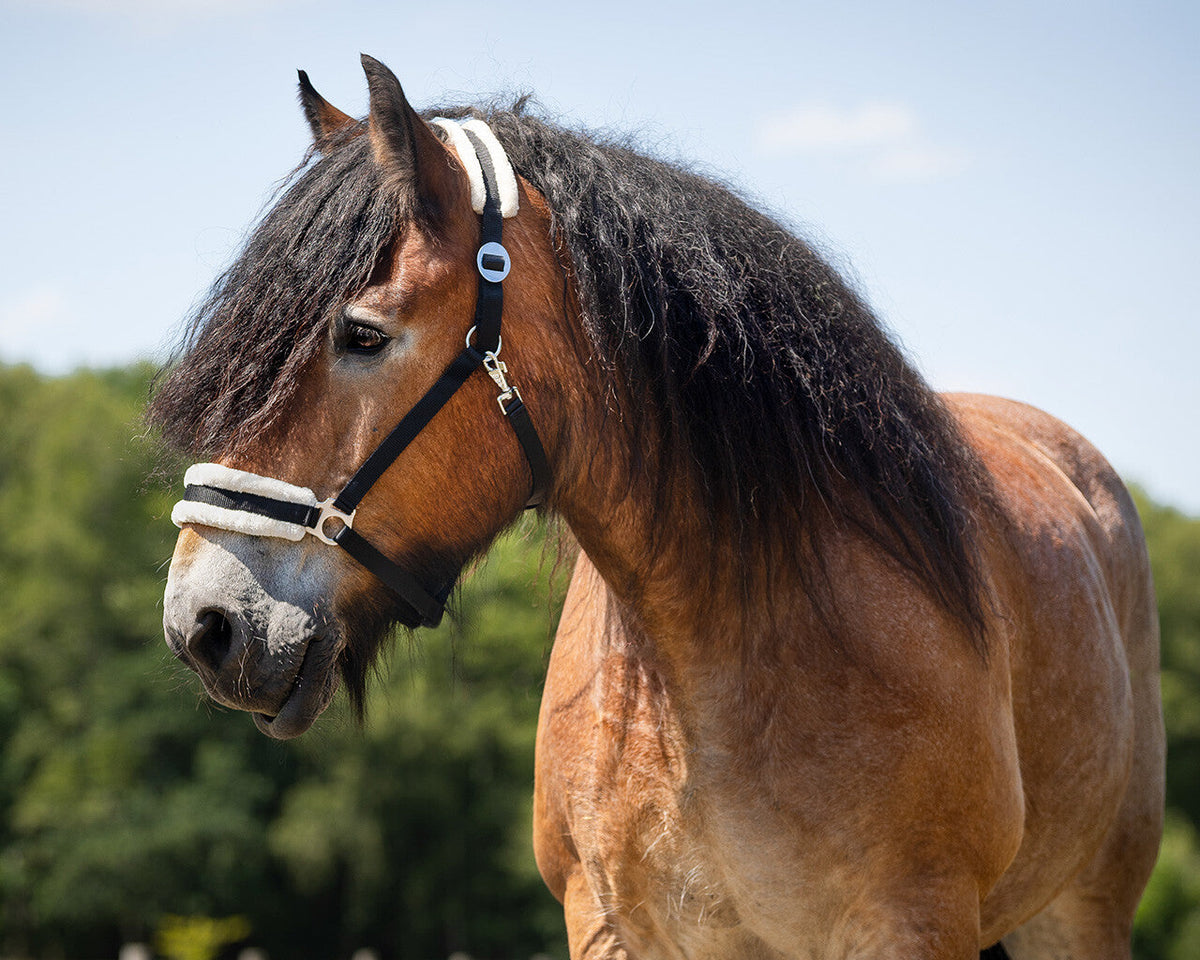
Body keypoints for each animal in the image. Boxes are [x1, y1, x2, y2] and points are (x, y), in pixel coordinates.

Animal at [153, 56, 1164, 960]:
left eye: (362, 335)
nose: (203, 623)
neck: (718, 669)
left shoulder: (911, 923)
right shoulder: (611, 926)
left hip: (1081, 911)